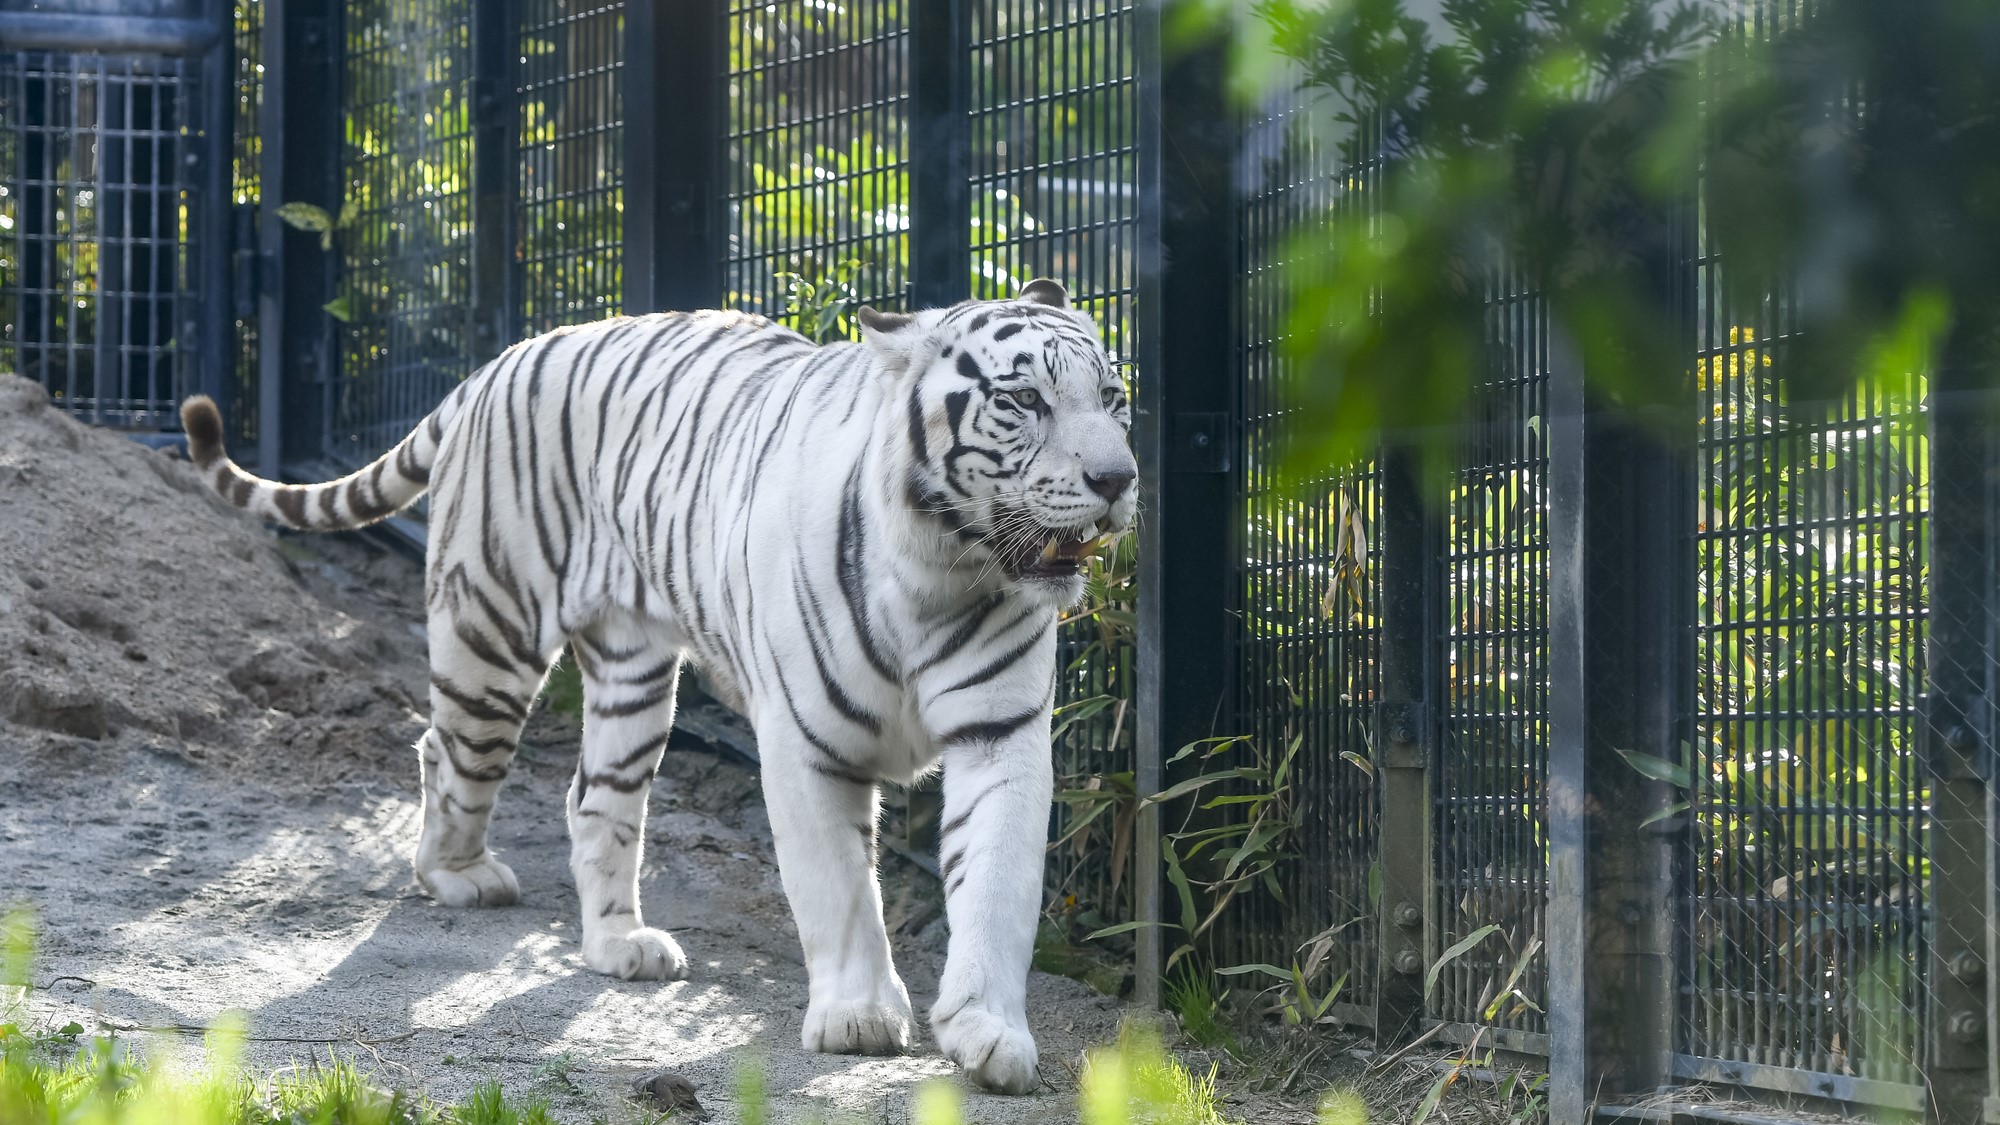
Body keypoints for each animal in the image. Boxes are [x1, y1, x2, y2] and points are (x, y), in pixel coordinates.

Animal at [176, 278, 1144, 1088]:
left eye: (1114, 398)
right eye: (1023, 400)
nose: (1118, 478)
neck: (944, 565)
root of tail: (501, 360)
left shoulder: (1000, 736)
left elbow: (997, 886)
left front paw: (989, 1032)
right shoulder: (807, 743)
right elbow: (837, 887)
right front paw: (860, 1015)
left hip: (632, 675)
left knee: (592, 800)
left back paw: (619, 944)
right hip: (491, 630)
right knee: (445, 749)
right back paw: (457, 873)